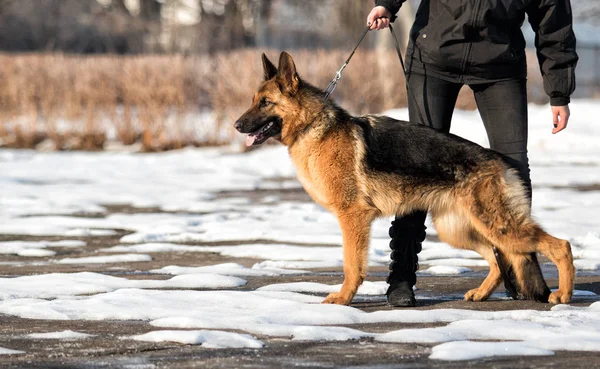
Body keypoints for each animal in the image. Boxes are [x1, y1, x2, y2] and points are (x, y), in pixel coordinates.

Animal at [233, 51, 572, 304]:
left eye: (265, 102)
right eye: (252, 100)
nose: (236, 125)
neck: (312, 125)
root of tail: (500, 161)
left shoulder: (353, 216)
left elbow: (351, 264)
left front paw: (343, 298)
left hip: (498, 226)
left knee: (561, 246)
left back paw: (563, 295)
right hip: (458, 229)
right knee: (496, 259)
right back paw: (482, 293)